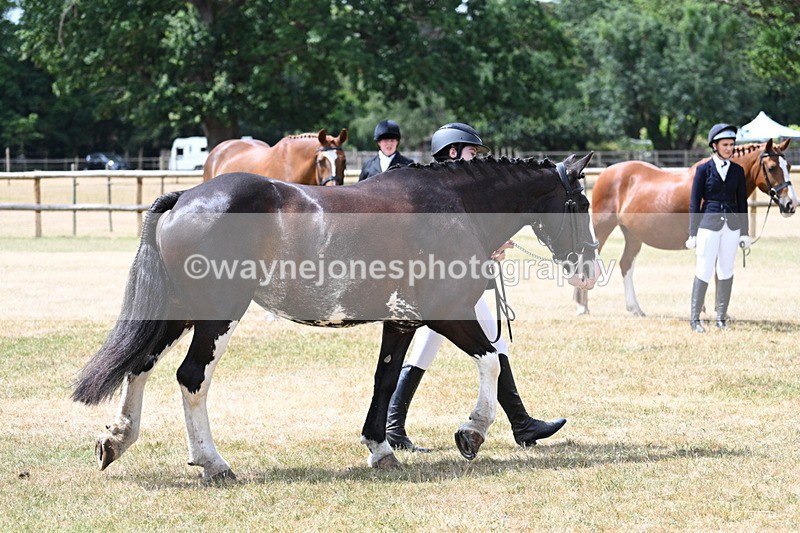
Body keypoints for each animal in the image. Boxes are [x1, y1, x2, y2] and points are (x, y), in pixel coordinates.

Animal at [71, 154, 599, 482]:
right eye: (579, 203)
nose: (590, 271)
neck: (453, 207)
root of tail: (183, 198)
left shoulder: (402, 321)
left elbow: (386, 380)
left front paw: (381, 450)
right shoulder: (447, 312)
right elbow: (490, 360)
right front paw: (471, 432)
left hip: (178, 312)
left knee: (140, 366)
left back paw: (116, 440)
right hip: (217, 316)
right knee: (192, 377)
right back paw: (213, 463)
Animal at [575, 138, 796, 316]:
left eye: (788, 165)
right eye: (771, 167)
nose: (791, 204)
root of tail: (607, 173)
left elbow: (718, 272)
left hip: (632, 235)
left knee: (625, 265)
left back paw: (635, 309)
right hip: (602, 227)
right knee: (587, 260)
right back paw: (582, 307)